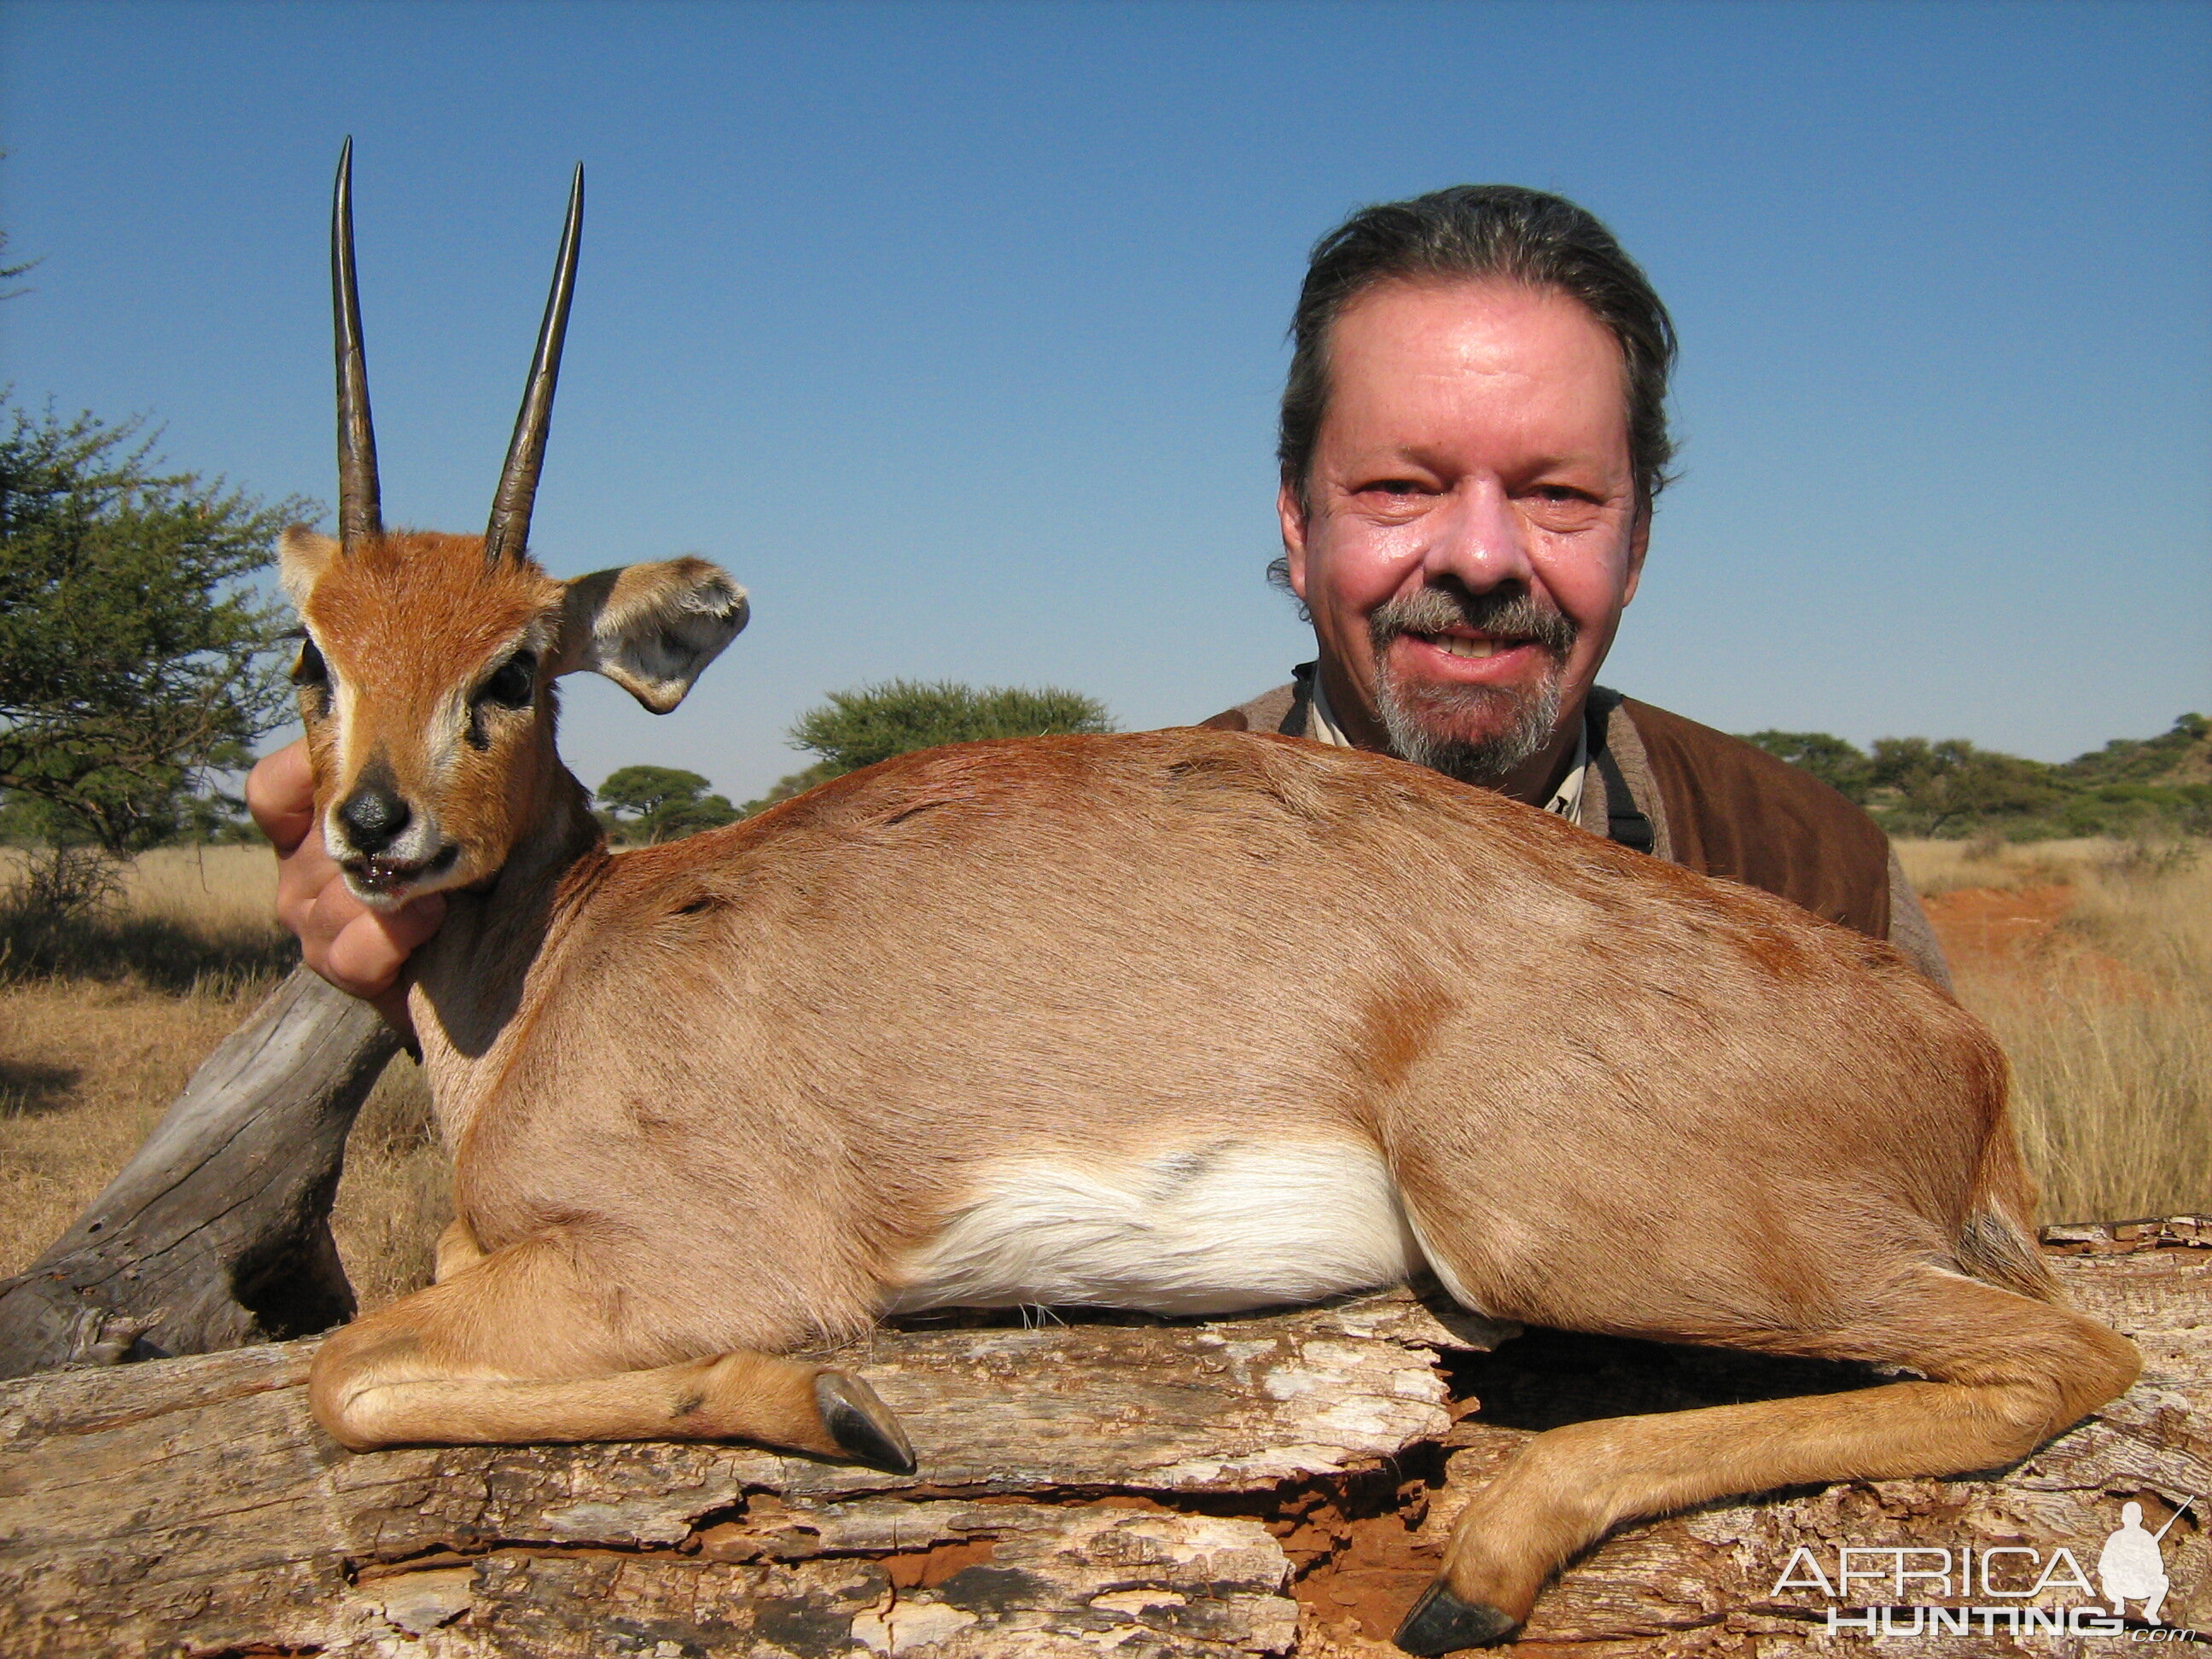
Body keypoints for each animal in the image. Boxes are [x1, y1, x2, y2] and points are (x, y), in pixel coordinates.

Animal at [294, 148, 2141, 1654]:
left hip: (1555, 1225)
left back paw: (1487, 1556)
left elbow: (339, 1374)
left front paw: (836, 1408)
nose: (374, 828)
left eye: (515, 665)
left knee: (2075, 1357)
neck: (571, 956)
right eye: (314, 654)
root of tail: (1960, 1053)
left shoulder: (706, 1261)